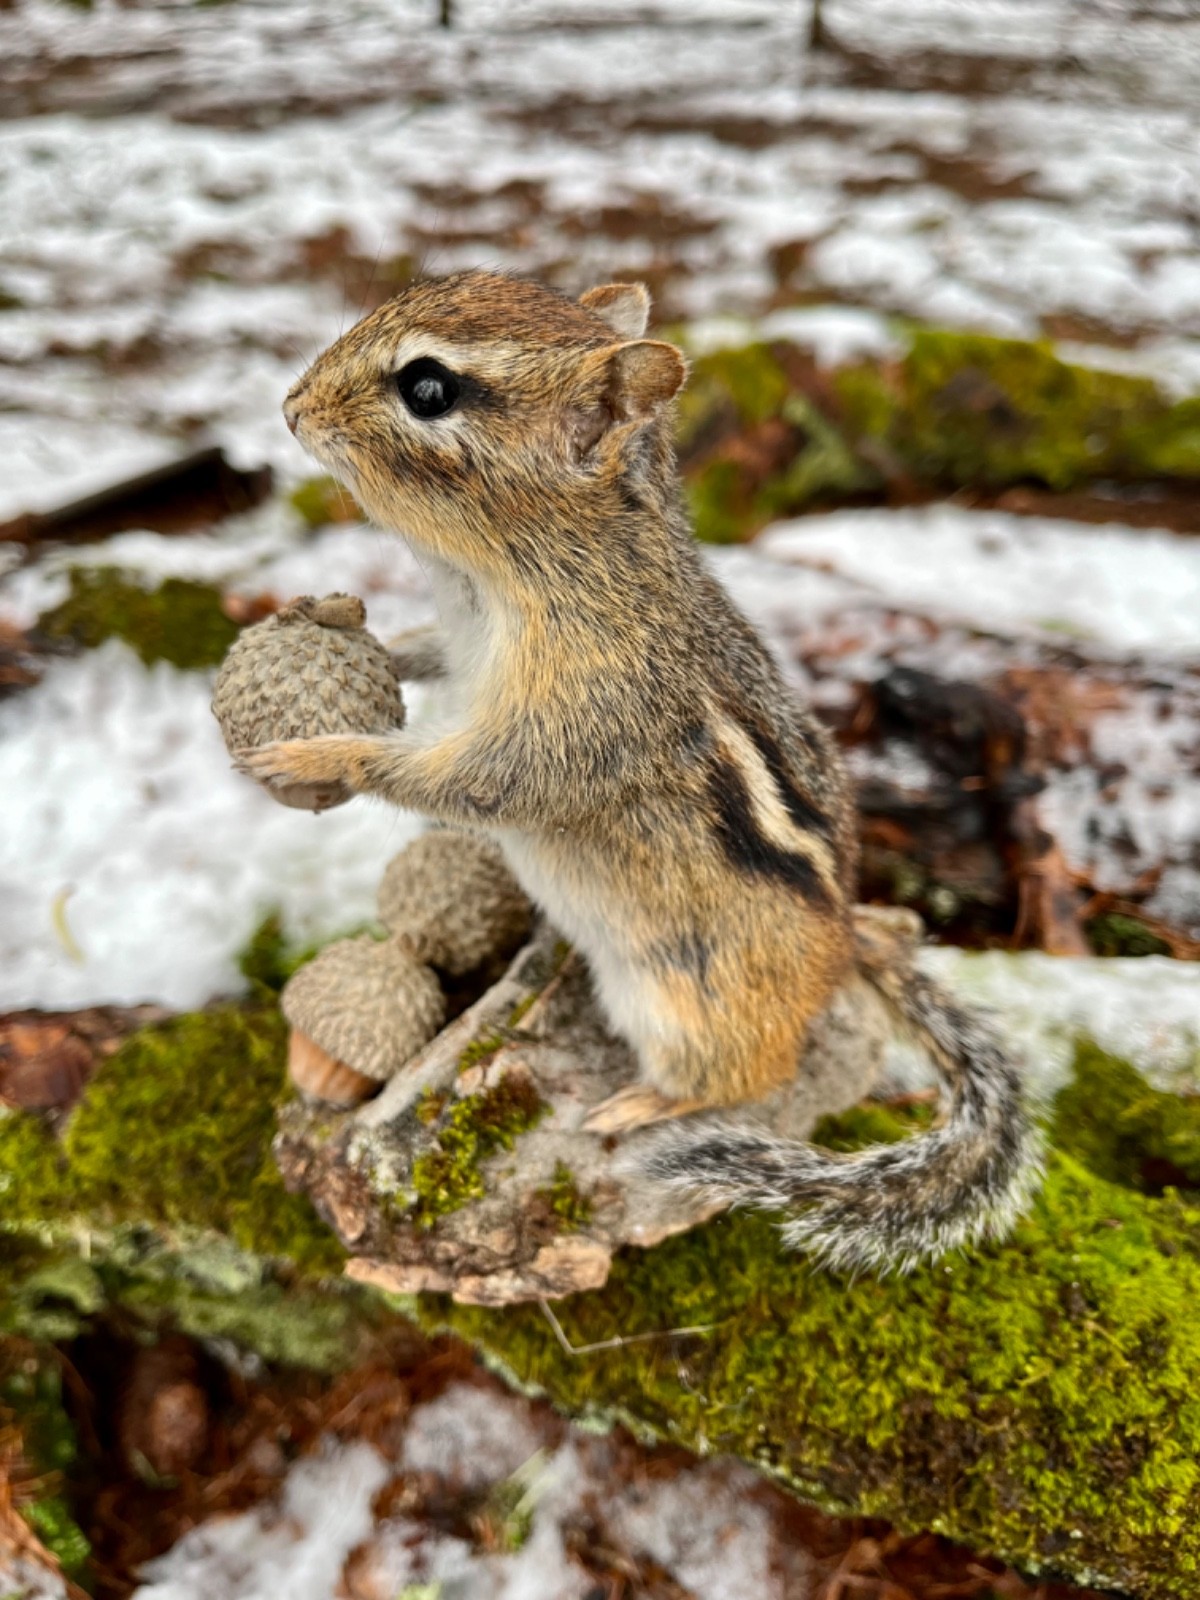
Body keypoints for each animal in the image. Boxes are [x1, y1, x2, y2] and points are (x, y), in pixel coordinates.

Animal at [241, 269, 1040, 1273]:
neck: (513, 570)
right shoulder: (465, 651)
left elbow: (472, 782)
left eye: (428, 389)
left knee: (751, 1072)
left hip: (680, 1003)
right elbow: (417, 653)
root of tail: (847, 944)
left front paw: (314, 751)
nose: (290, 407)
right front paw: (340, 621)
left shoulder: (576, 718)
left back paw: (639, 1104)